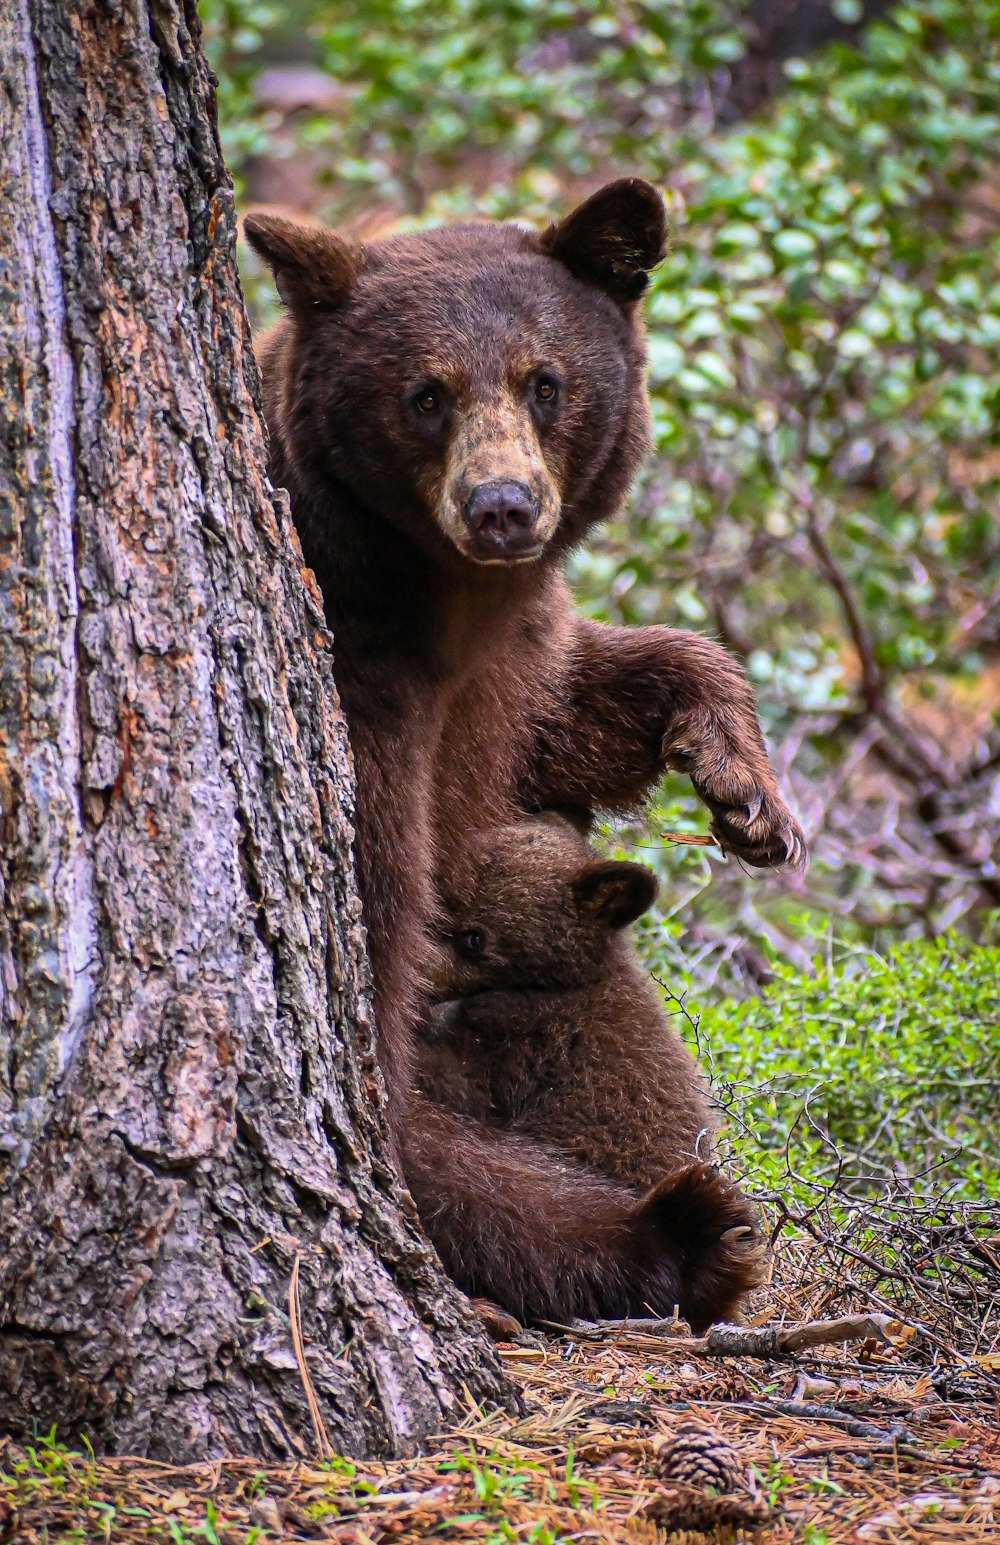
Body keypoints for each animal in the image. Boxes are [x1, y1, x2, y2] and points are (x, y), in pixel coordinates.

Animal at [248, 177, 803, 1316]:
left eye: (544, 381)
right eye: (426, 393)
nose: (501, 505)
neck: (443, 604)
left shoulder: (511, 662)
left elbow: (574, 709)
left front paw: (743, 790)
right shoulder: (364, 699)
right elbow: (389, 1041)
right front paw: (654, 1232)